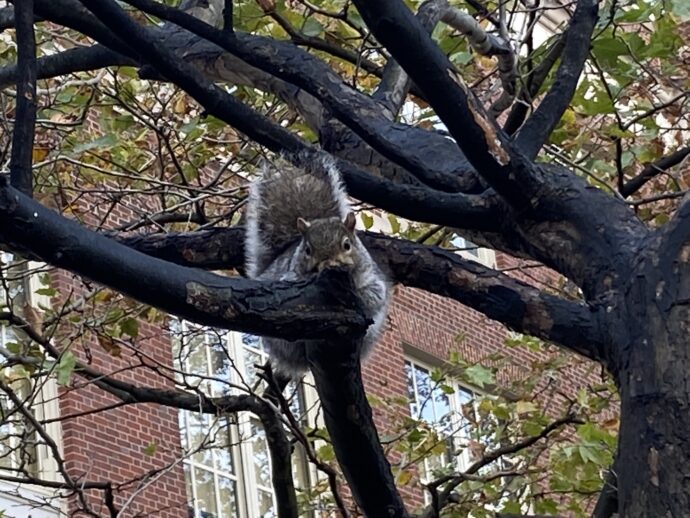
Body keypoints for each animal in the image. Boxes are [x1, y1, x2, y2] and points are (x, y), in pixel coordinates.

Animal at [244, 153, 390, 379]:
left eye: (347, 245)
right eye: (307, 250)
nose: (328, 265)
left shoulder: (372, 277)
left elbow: (374, 296)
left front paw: (360, 297)